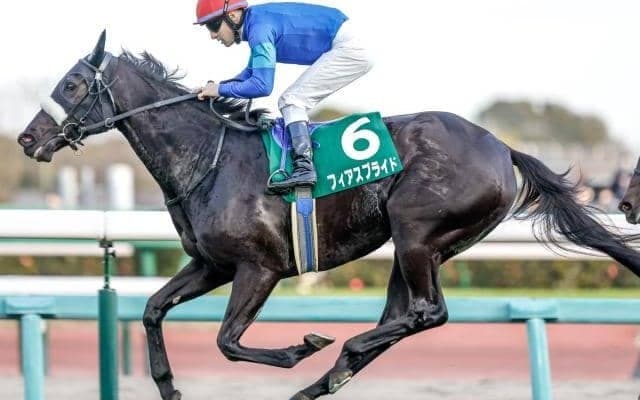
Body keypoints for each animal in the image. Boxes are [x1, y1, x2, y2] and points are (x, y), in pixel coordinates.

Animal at [18, 31, 640, 400]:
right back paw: (329, 375)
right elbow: (150, 309)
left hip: (416, 232)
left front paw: (301, 346)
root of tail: (502, 147)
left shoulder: (260, 267)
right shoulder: (212, 265)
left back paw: (339, 351)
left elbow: (227, 341)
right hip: (416, 246)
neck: (208, 157)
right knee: (407, 316)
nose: (26, 138)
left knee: (428, 313)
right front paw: (168, 387)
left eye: (73, 83)